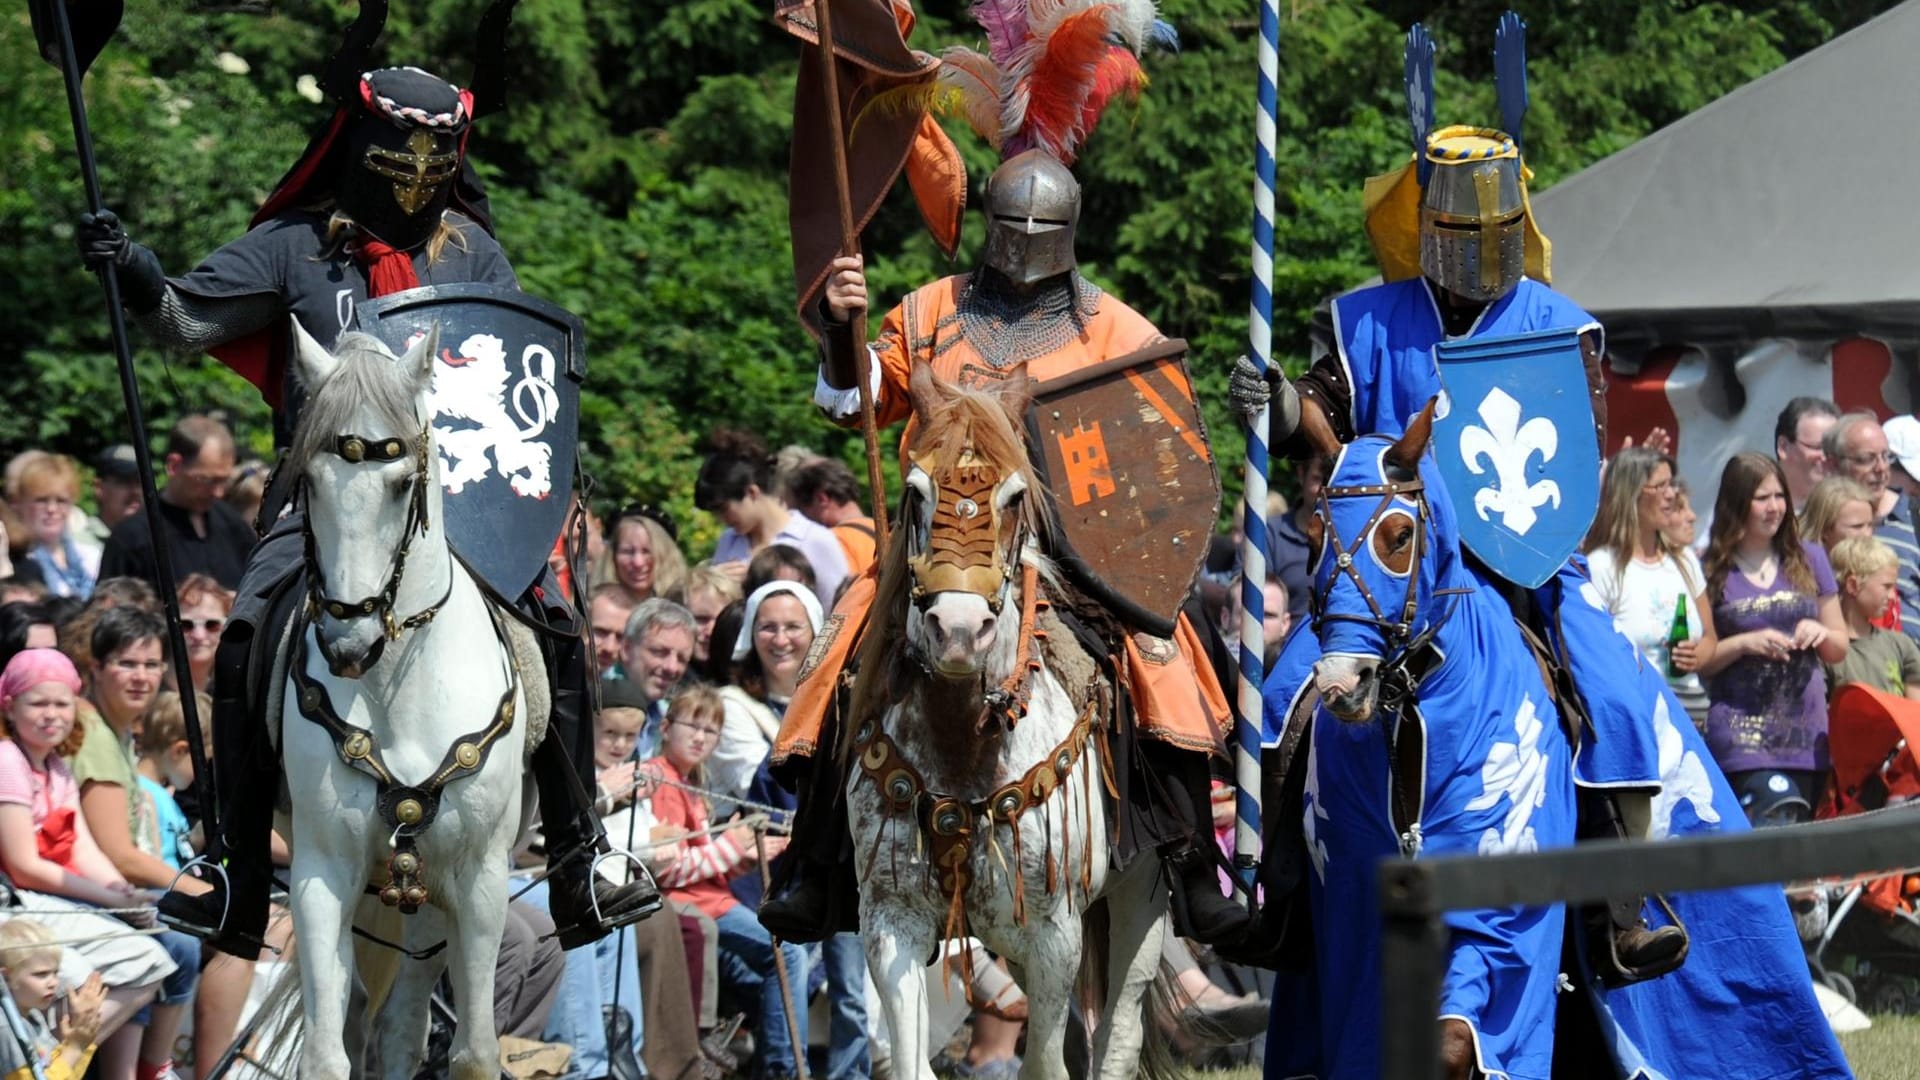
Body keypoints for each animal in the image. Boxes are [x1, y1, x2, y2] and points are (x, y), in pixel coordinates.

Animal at [274, 319, 537, 1076]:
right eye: (308, 481)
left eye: (399, 484)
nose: (346, 643)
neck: (397, 683)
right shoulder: (323, 873)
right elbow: (326, 1056)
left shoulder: (478, 882)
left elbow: (475, 1052)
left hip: (421, 900)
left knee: (401, 1027)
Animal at [852, 361, 1167, 1076]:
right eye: (915, 492)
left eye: (1015, 497)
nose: (959, 632)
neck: (963, 745)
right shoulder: (891, 921)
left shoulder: (1055, 935)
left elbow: (1047, 1063)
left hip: (1142, 890)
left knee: (1119, 1032)